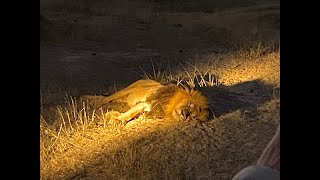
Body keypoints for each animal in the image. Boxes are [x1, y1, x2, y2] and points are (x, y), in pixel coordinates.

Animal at [80, 79, 210, 124]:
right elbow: (130, 113)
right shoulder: (145, 103)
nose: (184, 114)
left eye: (192, 116)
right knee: (106, 98)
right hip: (128, 89)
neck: (169, 107)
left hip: (125, 98)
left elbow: (139, 115)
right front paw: (118, 119)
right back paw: (92, 102)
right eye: (190, 104)